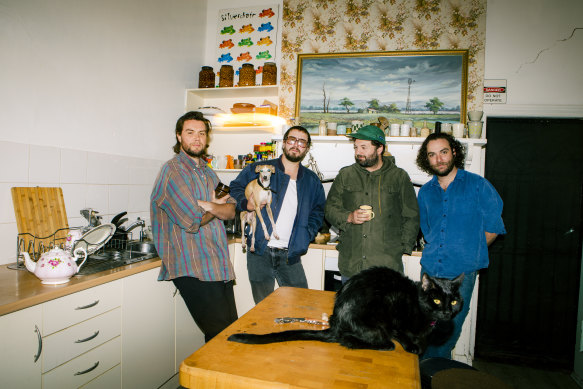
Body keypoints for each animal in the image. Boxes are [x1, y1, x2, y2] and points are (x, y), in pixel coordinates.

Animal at [228, 266, 466, 352]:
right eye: (437, 301)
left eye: (454, 302)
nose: (447, 312)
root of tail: (336, 322)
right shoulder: (395, 309)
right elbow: (402, 333)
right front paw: (412, 345)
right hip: (375, 322)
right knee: (350, 341)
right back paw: (384, 345)